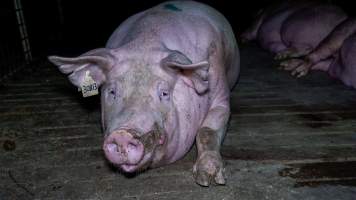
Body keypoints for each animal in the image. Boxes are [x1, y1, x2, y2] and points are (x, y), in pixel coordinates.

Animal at [46, 0, 239, 187]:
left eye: (164, 93)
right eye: (112, 91)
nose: (123, 134)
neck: (146, 41)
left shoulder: (221, 97)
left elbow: (206, 131)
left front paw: (209, 179)